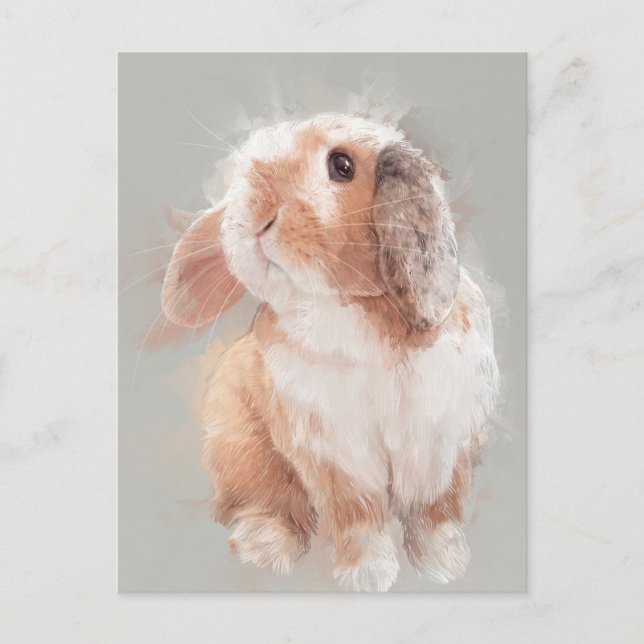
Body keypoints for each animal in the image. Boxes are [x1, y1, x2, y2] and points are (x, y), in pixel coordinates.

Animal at [162, 114, 499, 592]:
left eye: (342, 166)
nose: (255, 213)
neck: (349, 307)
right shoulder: (334, 453)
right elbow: (358, 514)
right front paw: (368, 575)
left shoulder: (442, 443)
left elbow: (435, 511)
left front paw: (443, 565)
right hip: (240, 446)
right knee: (265, 503)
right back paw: (263, 546)